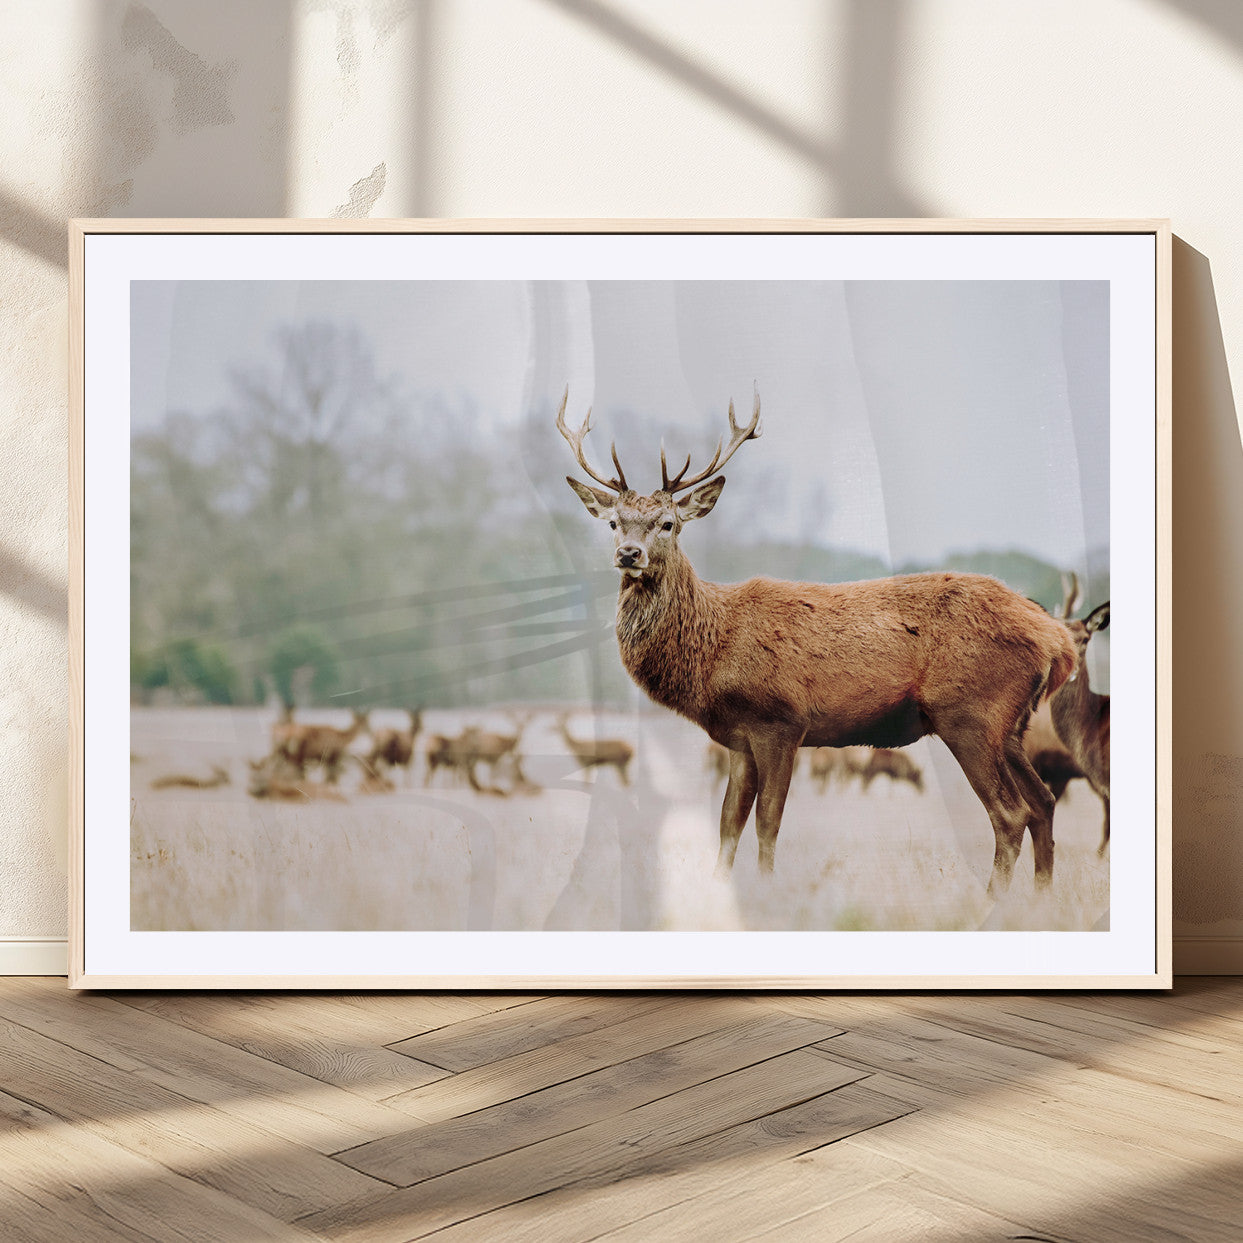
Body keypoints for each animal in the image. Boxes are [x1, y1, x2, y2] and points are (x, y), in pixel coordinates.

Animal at [559, 387, 1078, 894]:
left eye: (668, 523)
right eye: (613, 523)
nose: (629, 554)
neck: (713, 651)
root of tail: (1058, 640)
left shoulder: (780, 721)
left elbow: (768, 822)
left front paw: (769, 893)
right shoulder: (738, 738)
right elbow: (728, 824)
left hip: (969, 712)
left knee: (1010, 813)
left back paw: (994, 902)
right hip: (1011, 726)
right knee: (1044, 803)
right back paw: (1041, 900)